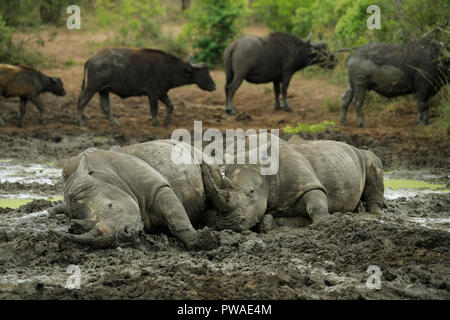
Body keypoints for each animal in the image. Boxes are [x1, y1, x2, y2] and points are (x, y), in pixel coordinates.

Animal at [77, 48, 216, 127]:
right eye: (204, 73)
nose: (214, 86)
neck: (167, 68)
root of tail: (92, 59)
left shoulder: (162, 93)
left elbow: (171, 105)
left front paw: (167, 121)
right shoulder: (153, 93)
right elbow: (154, 109)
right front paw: (156, 123)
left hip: (103, 90)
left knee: (105, 106)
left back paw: (115, 123)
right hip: (92, 87)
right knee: (82, 101)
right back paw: (80, 122)